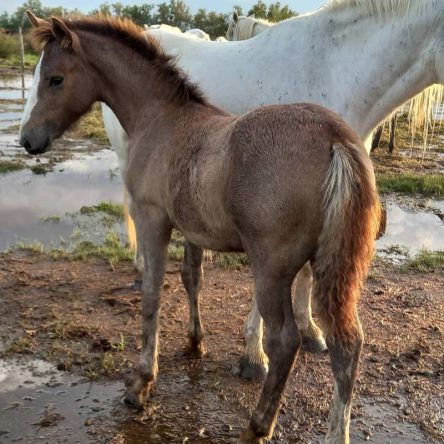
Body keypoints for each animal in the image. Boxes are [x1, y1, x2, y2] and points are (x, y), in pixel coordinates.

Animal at [102, 0, 444, 382]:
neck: (334, 69)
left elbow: (306, 274)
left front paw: (311, 332)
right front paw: (254, 354)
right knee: (134, 212)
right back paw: (140, 269)